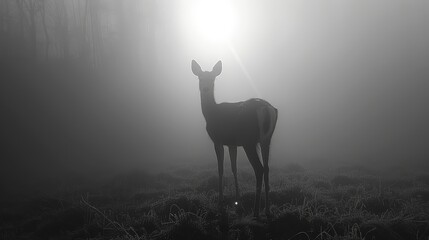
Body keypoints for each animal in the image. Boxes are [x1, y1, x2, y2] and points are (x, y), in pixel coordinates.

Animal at [191, 60, 278, 218]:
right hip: (266, 140)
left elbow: (220, 169)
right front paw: (238, 199)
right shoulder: (232, 144)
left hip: (249, 141)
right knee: (267, 168)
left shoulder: (218, 140)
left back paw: (256, 211)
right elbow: (234, 168)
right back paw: (267, 210)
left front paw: (220, 201)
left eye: (212, 79)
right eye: (200, 78)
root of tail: (267, 109)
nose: (205, 89)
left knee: (259, 169)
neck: (211, 113)